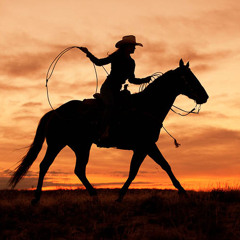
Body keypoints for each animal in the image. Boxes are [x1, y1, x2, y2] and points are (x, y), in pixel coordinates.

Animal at [9, 59, 208, 203]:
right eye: (189, 77)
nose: (205, 96)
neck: (146, 106)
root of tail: (55, 111)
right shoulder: (146, 145)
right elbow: (163, 166)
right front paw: (184, 193)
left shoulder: (142, 148)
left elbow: (137, 170)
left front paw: (119, 196)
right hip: (57, 144)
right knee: (45, 165)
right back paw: (36, 198)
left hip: (80, 146)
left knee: (79, 169)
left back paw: (94, 195)